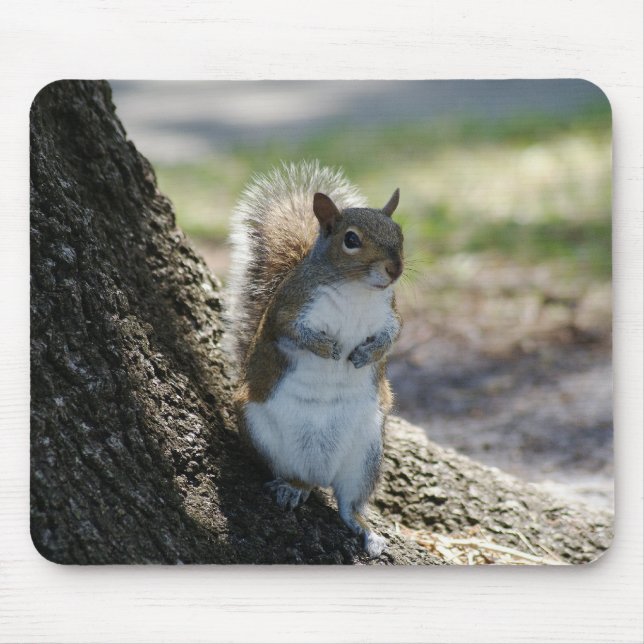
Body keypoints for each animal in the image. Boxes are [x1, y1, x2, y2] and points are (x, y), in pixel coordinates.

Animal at [228, 161, 403, 557]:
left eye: (400, 234)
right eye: (351, 240)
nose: (395, 270)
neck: (356, 290)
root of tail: (319, 474)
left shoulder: (391, 314)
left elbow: (392, 337)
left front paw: (365, 354)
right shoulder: (288, 308)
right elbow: (293, 333)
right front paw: (329, 350)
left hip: (367, 453)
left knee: (349, 502)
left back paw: (366, 531)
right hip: (263, 436)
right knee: (294, 477)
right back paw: (293, 488)